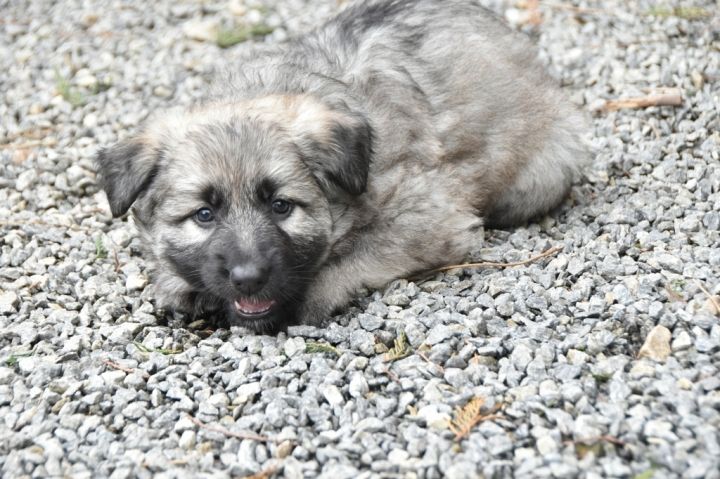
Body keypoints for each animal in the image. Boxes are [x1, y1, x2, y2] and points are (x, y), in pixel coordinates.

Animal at [95, 0, 587, 333]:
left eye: (281, 206)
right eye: (203, 214)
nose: (249, 279)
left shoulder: (429, 218)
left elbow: (354, 259)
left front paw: (310, 297)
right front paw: (178, 283)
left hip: (538, 179)